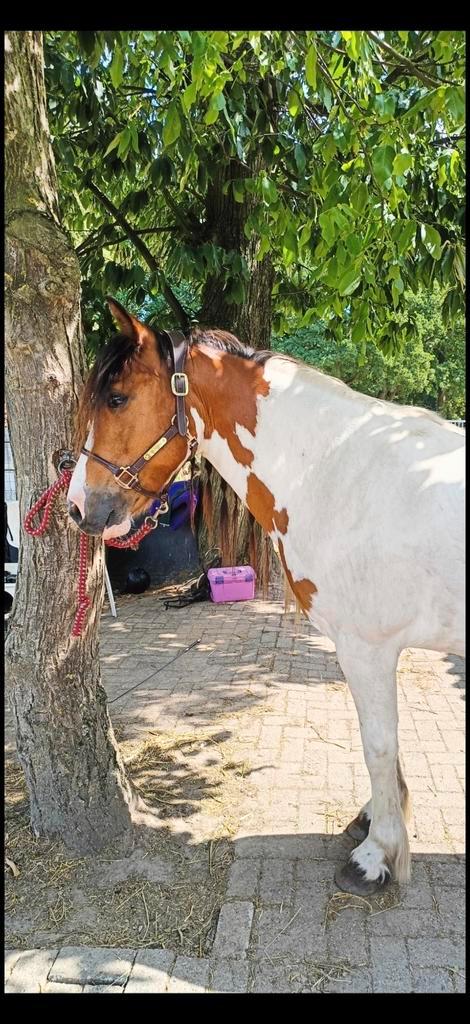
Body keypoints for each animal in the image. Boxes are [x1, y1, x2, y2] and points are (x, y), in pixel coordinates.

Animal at [67, 296, 465, 896]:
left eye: (117, 398)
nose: (76, 507)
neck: (337, 471)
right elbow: (382, 747)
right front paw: (373, 819)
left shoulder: (368, 648)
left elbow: (378, 743)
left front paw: (376, 857)